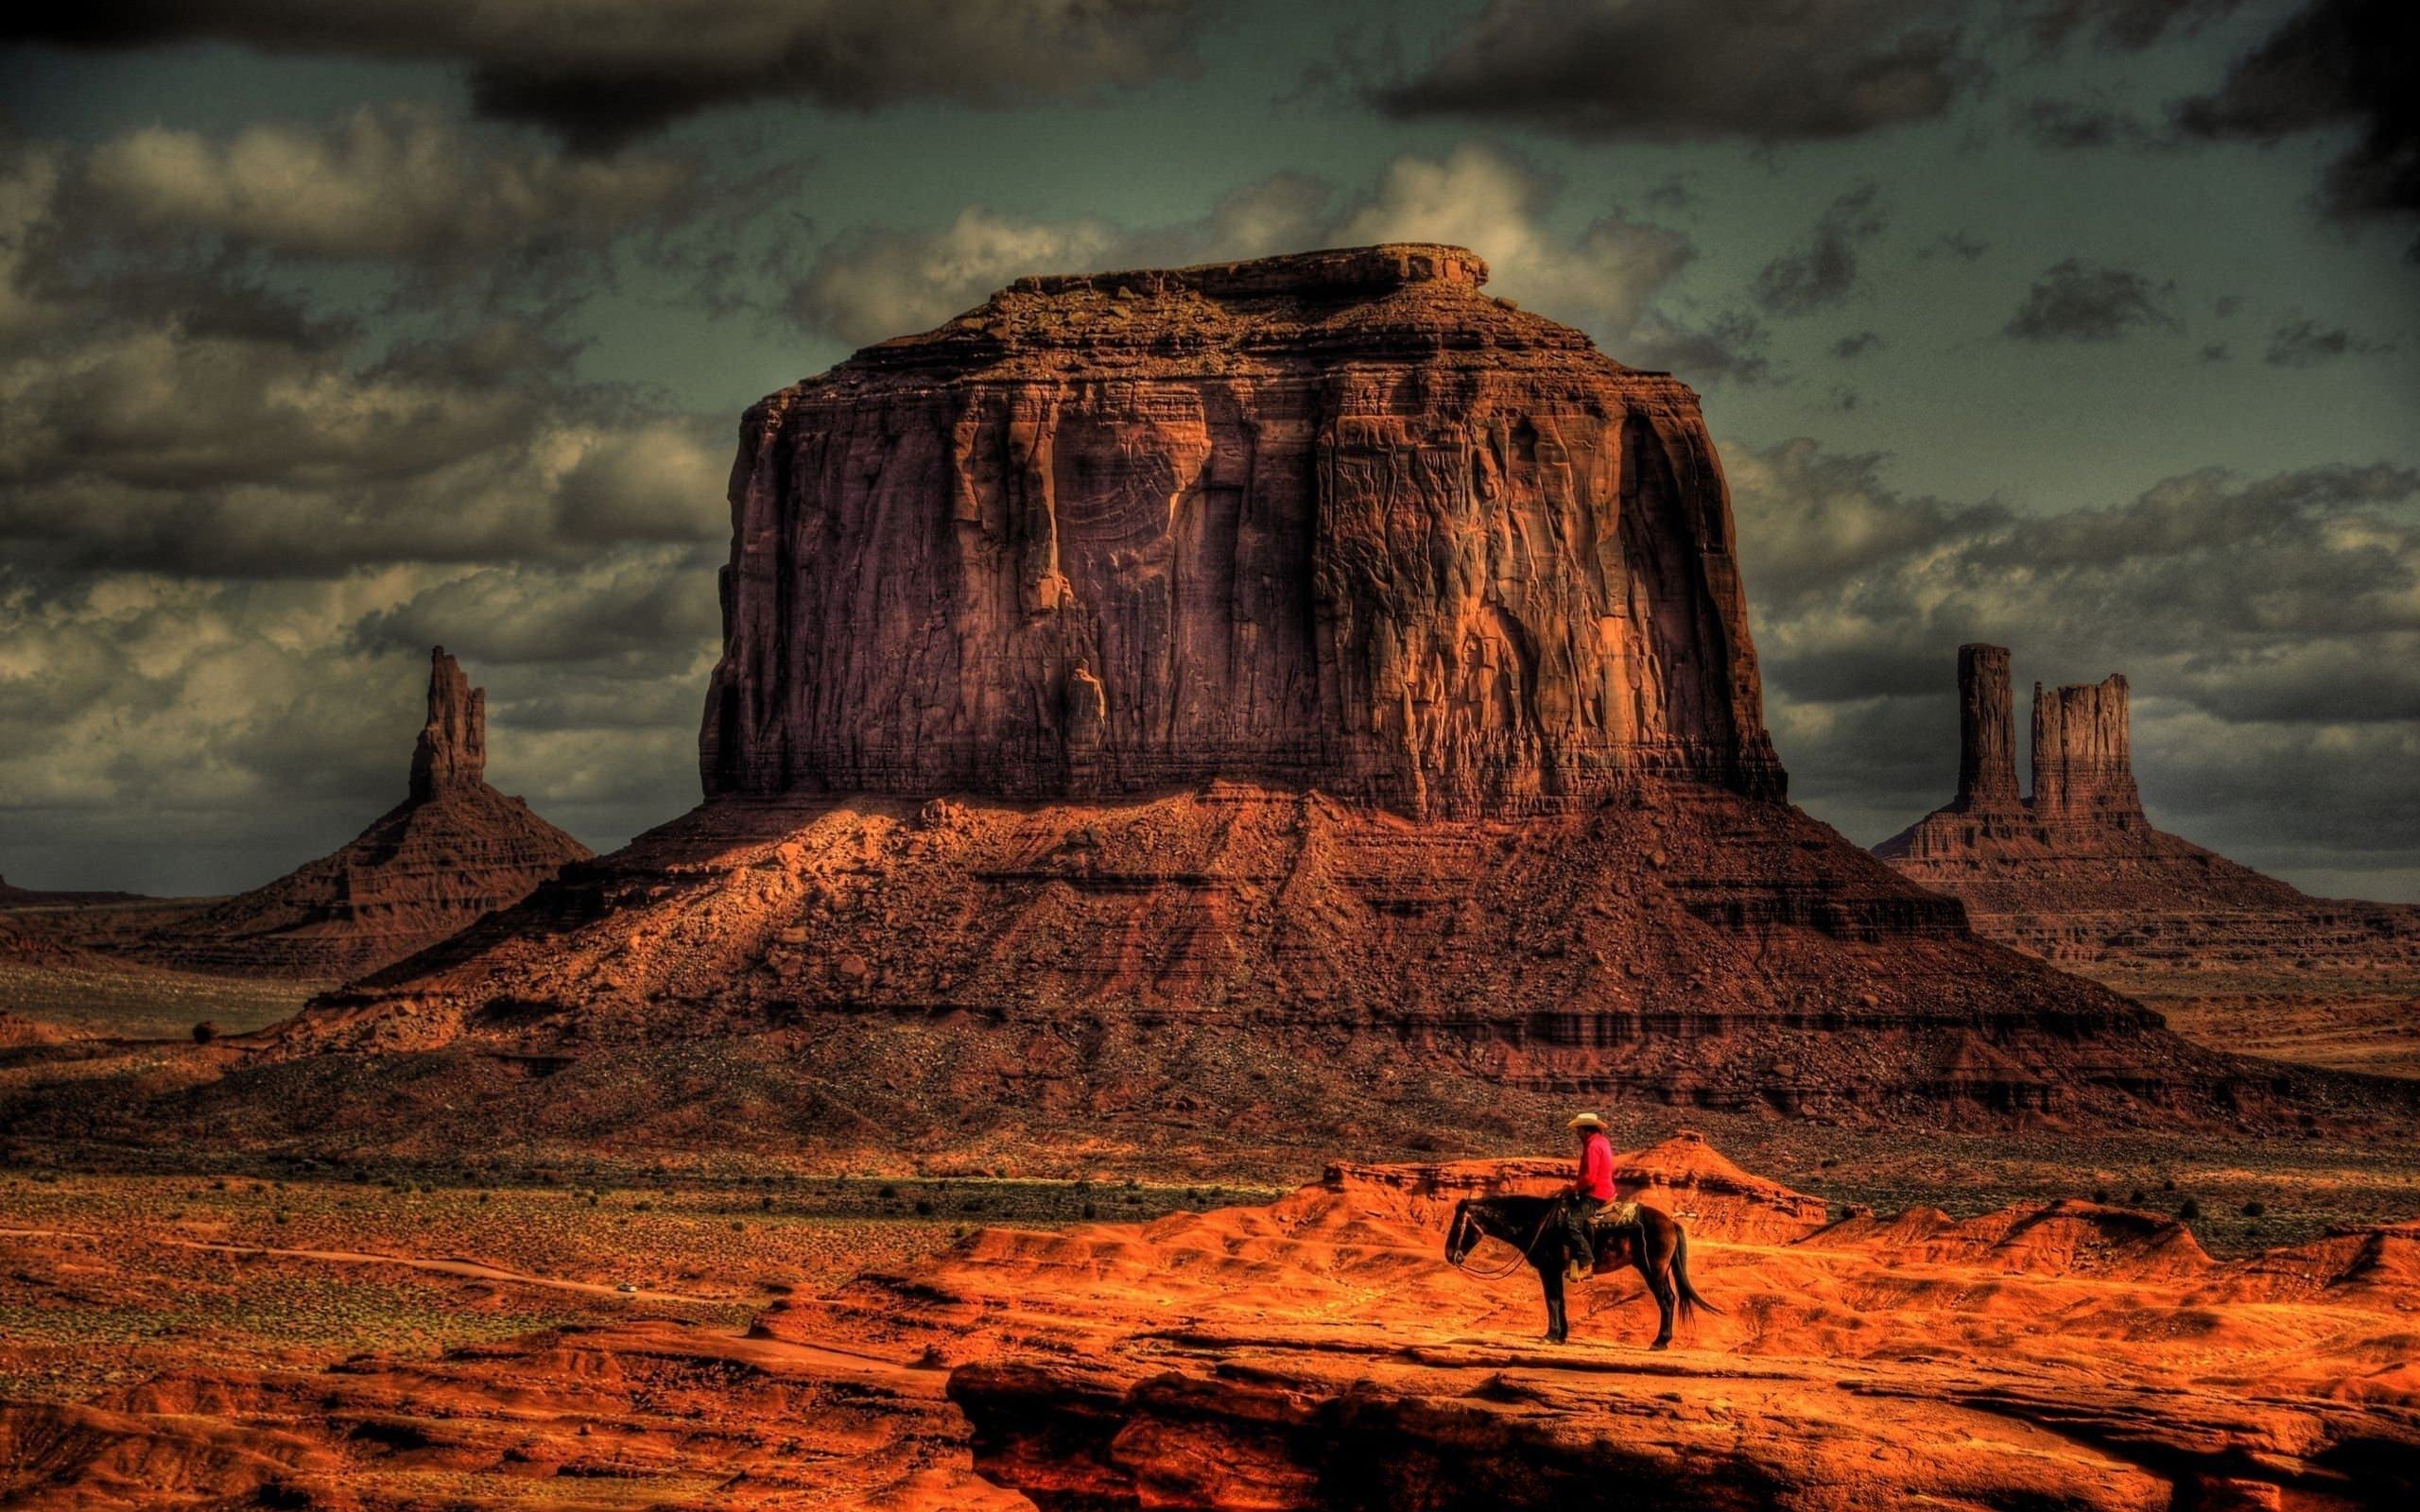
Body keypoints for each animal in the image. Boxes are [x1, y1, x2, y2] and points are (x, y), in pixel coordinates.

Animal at [1442, 1190, 1713, 1345]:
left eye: (1457, 1225)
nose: (1449, 1254)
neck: (1537, 1222)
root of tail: (1671, 1223)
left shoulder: (1548, 1269)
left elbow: (1552, 1300)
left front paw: (1551, 1336)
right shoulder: (1553, 1271)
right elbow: (1559, 1300)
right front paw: (1561, 1336)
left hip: (1653, 1270)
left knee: (1667, 1299)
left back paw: (1660, 1341)